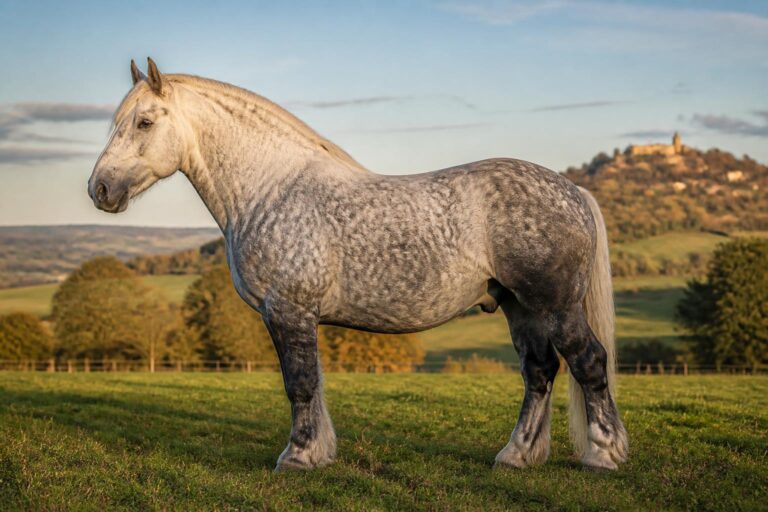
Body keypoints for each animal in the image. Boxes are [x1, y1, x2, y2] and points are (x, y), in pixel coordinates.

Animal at [88, 58, 628, 472]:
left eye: (144, 122)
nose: (100, 189)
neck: (271, 189)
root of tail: (573, 191)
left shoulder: (289, 311)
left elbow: (301, 384)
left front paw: (299, 457)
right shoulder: (292, 316)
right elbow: (308, 384)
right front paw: (317, 452)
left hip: (555, 307)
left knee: (588, 362)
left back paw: (603, 456)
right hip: (521, 308)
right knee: (539, 372)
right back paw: (515, 456)